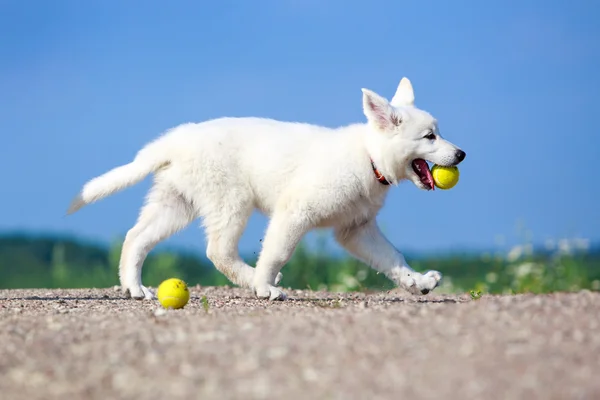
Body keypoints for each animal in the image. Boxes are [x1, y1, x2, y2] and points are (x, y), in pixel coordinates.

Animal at [68, 76, 466, 300]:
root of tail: (176, 139)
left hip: (176, 204)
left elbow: (392, 257)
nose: (462, 154)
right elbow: (277, 252)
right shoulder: (295, 212)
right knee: (218, 252)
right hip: (231, 201)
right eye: (430, 137)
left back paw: (134, 288)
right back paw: (252, 281)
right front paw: (263, 285)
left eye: (439, 132)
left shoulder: (356, 229)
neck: (368, 156)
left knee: (136, 238)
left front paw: (417, 282)